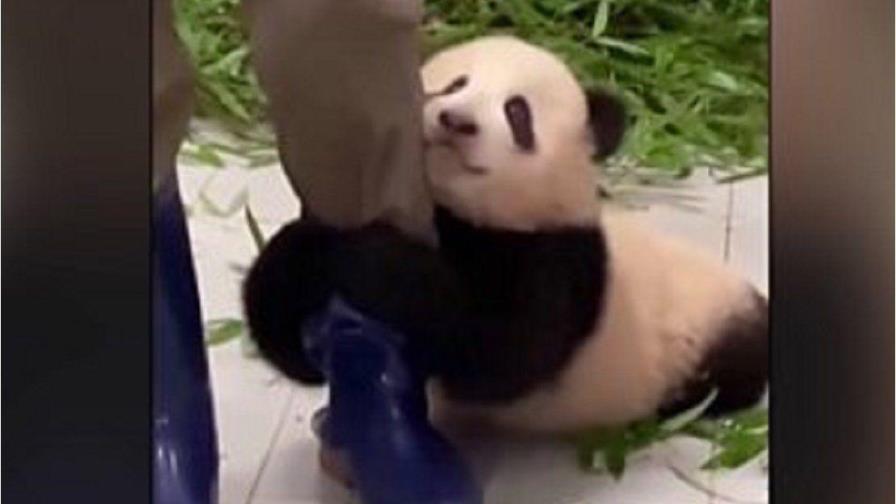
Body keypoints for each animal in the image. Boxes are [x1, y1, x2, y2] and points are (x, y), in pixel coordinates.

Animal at [243, 35, 768, 434]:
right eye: (454, 84)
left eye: (517, 114)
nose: (456, 121)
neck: (465, 212)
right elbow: (293, 260)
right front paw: (300, 342)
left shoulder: (556, 263)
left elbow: (491, 354)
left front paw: (376, 260)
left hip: (713, 342)